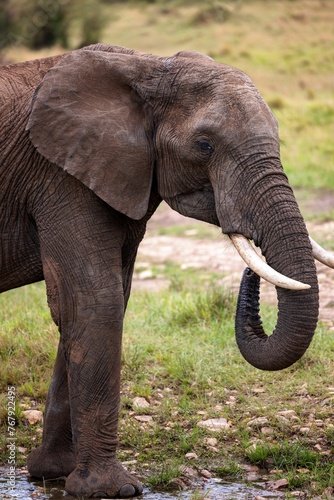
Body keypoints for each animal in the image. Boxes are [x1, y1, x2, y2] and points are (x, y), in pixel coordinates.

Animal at [0, 43, 332, 496]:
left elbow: (96, 305)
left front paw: (54, 474)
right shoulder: (59, 177)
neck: (149, 67)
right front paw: (111, 490)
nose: (252, 266)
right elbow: (95, 303)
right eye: (205, 145)